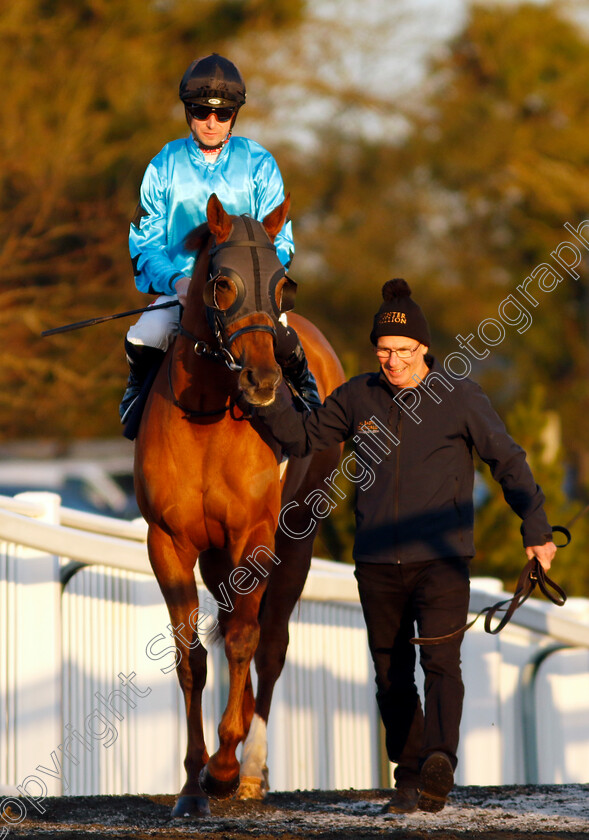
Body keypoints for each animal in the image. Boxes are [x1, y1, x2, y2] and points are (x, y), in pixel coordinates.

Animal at [133, 194, 344, 816]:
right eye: (222, 282)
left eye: (282, 283)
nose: (262, 380)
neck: (206, 413)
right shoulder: (169, 542)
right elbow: (192, 655)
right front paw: (191, 782)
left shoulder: (254, 534)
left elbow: (246, 641)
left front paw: (226, 766)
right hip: (217, 556)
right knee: (231, 626)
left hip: (297, 537)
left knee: (269, 642)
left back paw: (251, 769)